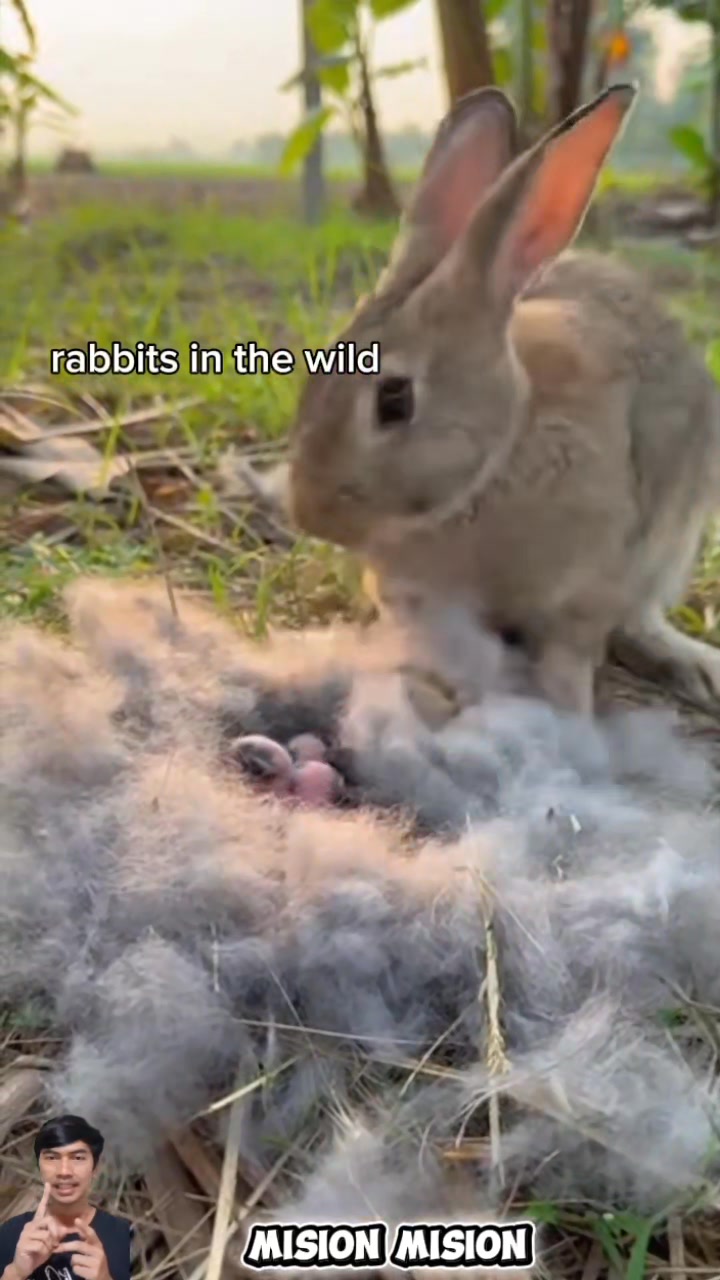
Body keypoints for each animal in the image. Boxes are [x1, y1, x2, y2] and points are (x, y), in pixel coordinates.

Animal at [284, 81, 720, 720]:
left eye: (394, 399)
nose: (310, 516)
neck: (498, 459)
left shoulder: (593, 583)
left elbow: (572, 651)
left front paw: (566, 710)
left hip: (670, 545)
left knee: (640, 622)